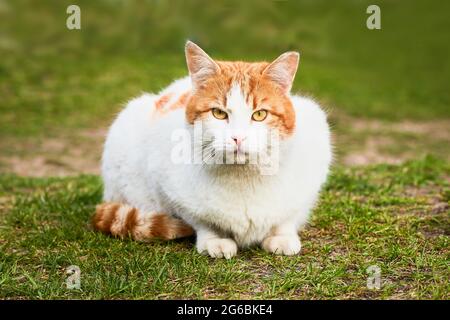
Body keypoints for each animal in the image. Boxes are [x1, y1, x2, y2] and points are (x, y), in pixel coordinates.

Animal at [93, 41, 332, 258]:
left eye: (259, 114)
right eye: (218, 113)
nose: (238, 137)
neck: (242, 178)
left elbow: (288, 215)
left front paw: (282, 236)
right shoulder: (166, 184)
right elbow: (200, 220)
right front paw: (214, 239)